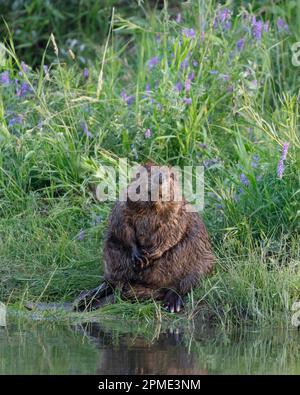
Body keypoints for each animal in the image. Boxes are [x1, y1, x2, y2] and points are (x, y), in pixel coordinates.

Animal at [75, 162, 216, 314]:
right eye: (148, 171)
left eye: (171, 175)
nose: (160, 179)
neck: (152, 207)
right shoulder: (122, 206)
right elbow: (122, 226)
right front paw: (139, 256)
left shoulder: (179, 211)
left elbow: (172, 231)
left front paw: (152, 254)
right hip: (110, 254)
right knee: (112, 281)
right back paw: (85, 298)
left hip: (203, 261)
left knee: (184, 282)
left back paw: (172, 304)